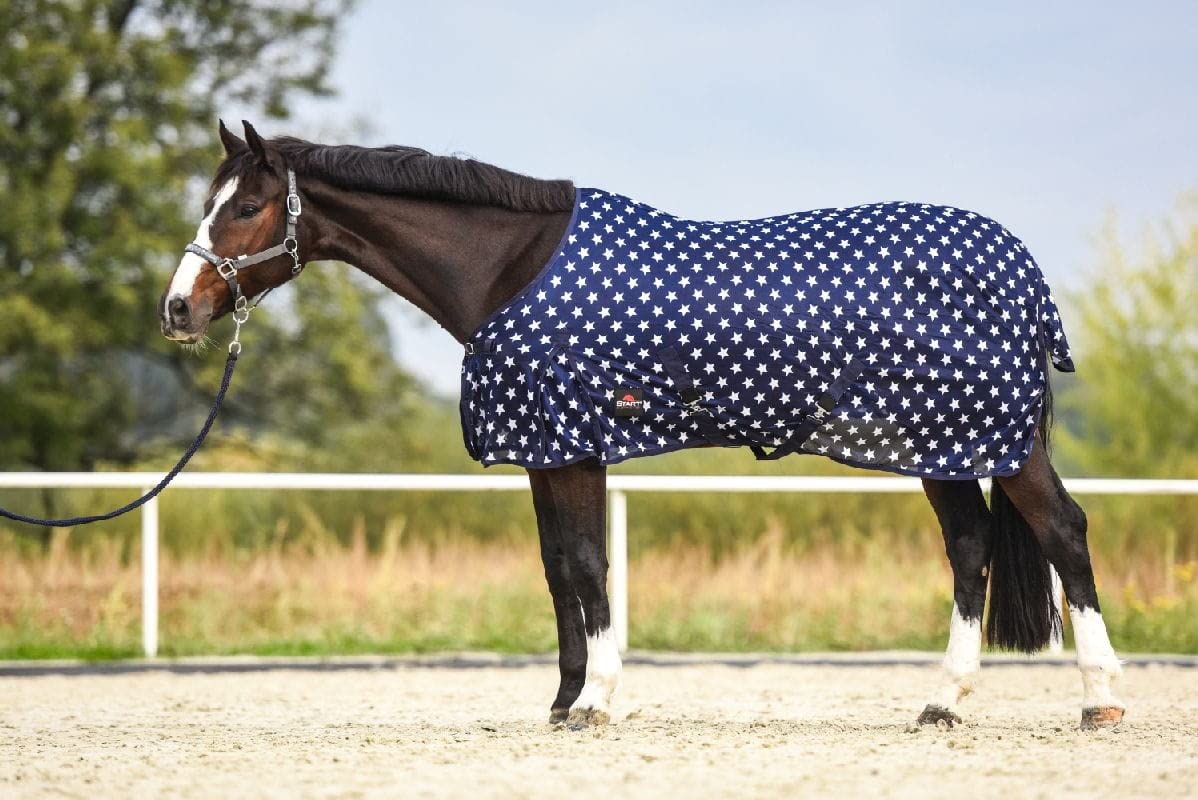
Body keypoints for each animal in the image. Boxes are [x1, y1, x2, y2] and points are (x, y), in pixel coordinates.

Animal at [160, 120, 1124, 731]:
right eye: (209, 201)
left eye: (243, 208)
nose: (178, 309)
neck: (510, 267)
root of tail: (1021, 266)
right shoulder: (544, 451)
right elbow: (559, 569)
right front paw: (564, 702)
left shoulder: (576, 445)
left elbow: (589, 565)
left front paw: (595, 703)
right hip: (942, 446)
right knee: (970, 549)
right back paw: (942, 703)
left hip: (993, 442)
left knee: (1063, 531)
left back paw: (1100, 699)